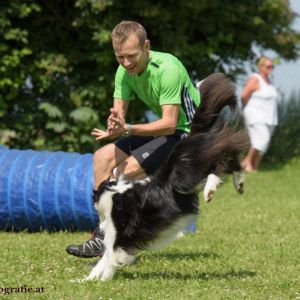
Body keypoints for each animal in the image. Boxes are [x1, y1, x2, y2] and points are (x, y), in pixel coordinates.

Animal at [84, 72, 246, 282]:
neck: (113, 192)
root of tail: (191, 134)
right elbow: (102, 261)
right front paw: (85, 280)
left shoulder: (119, 235)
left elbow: (111, 258)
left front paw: (104, 280)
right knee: (230, 158)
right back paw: (238, 183)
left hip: (185, 174)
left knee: (222, 159)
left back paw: (211, 189)